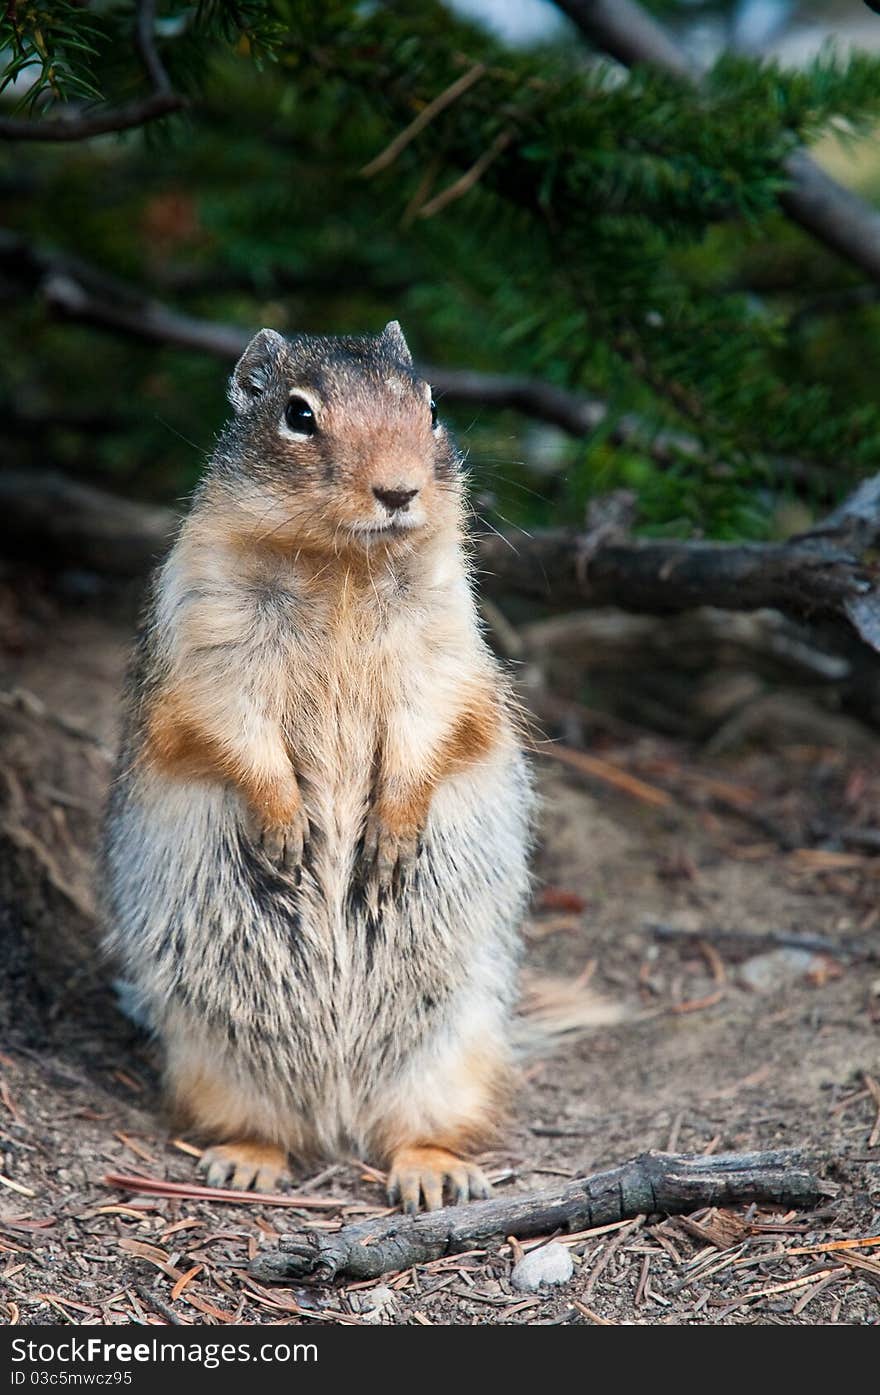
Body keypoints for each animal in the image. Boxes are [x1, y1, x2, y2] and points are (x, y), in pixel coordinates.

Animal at [100, 323, 532, 1210]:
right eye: (298, 415)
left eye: (431, 406)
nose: (399, 490)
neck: (343, 566)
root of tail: (338, 1111)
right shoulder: (211, 637)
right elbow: (232, 726)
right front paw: (286, 826)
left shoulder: (443, 639)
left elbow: (434, 719)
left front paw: (391, 831)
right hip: (212, 1057)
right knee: (261, 1123)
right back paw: (247, 1160)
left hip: (453, 1050)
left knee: (418, 1128)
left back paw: (432, 1173)